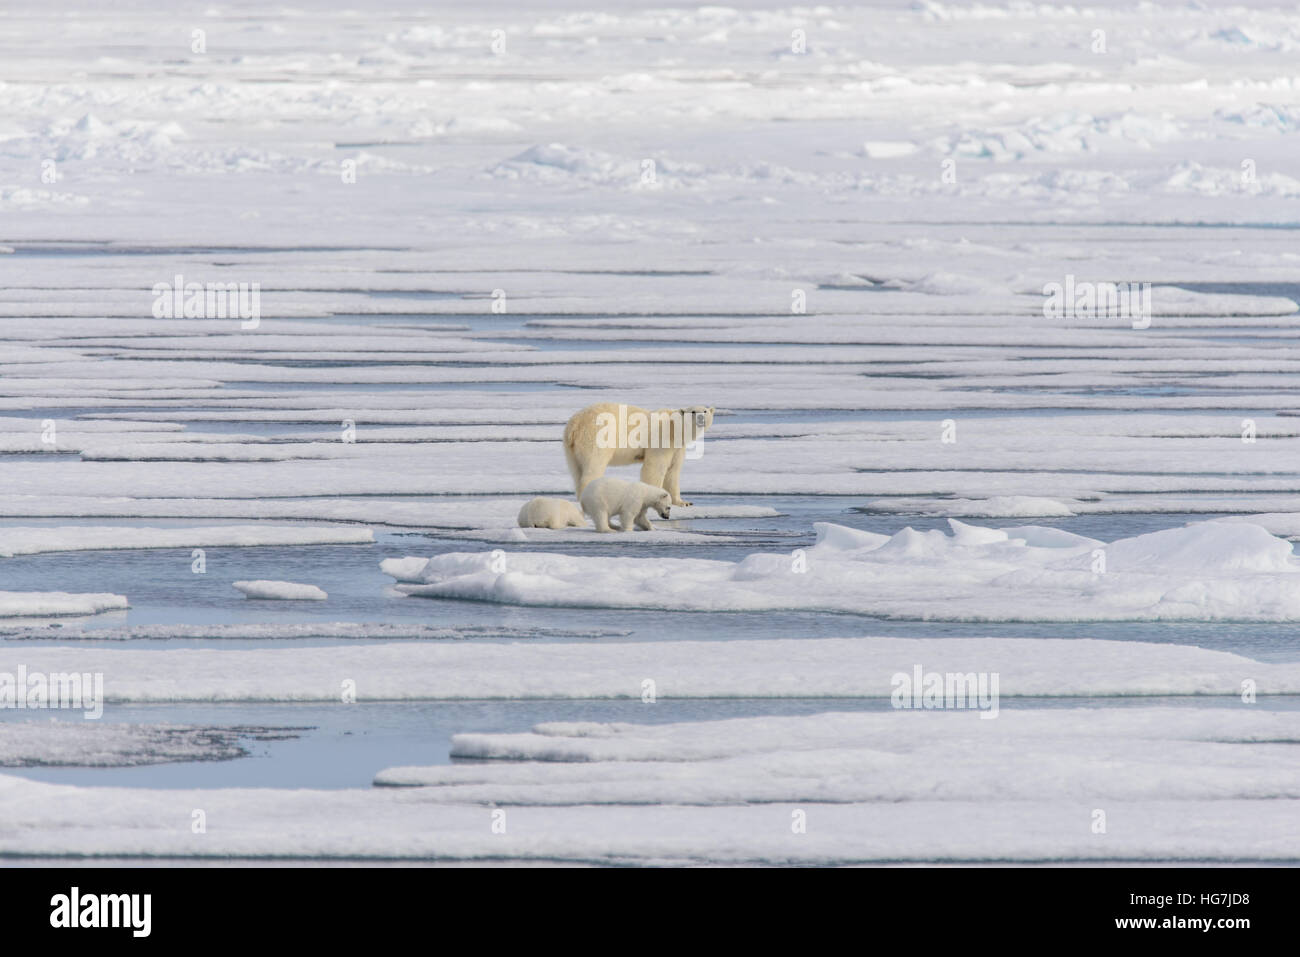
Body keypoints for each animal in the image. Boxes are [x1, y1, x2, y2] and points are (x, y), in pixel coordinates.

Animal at [563, 402, 714, 506]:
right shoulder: (661, 439)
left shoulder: (677, 448)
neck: (674, 428)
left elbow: (673, 472)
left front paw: (683, 502)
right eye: (693, 411)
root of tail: (575, 424)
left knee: (576, 470)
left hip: (571, 449)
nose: (701, 417)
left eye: (705, 410)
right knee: (594, 465)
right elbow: (655, 468)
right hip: (596, 435)